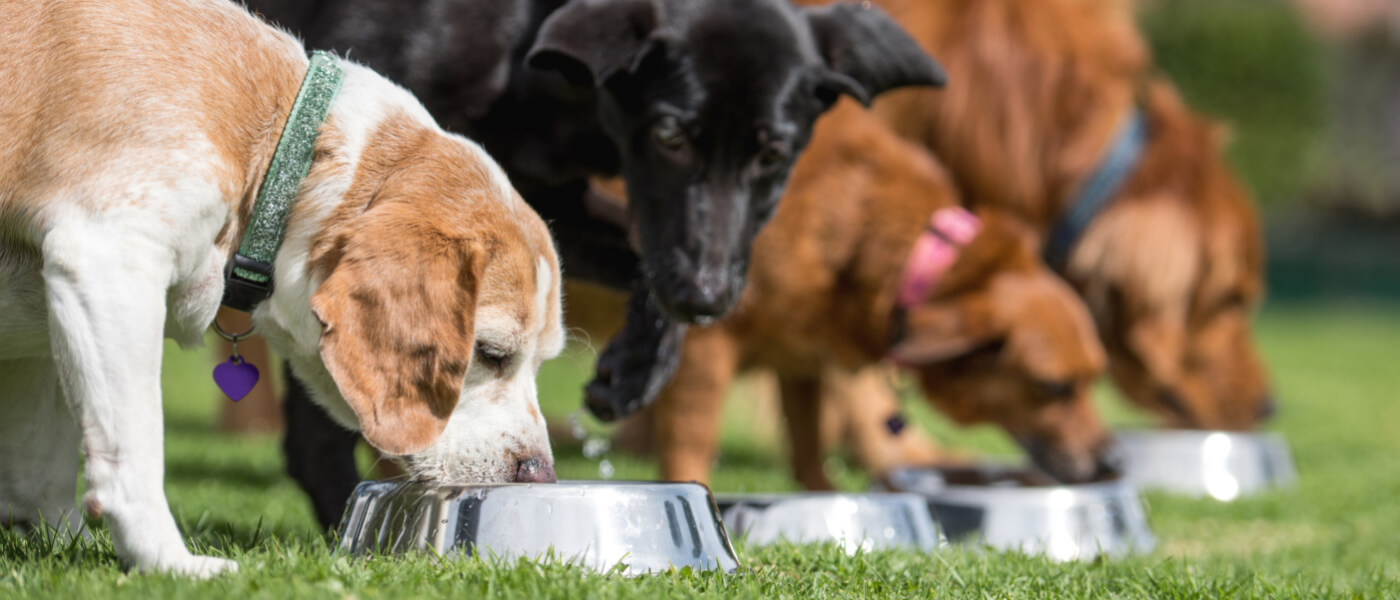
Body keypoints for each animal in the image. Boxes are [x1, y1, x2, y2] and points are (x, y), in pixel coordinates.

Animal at [6, 0, 562, 576]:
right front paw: (168, 562)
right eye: (491, 353)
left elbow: (41, 468)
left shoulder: (44, 330)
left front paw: (65, 544)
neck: (281, 142)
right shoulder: (108, 259)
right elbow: (133, 453)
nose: (540, 474)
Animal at [249, 0, 952, 525]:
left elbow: (641, 262)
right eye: (670, 135)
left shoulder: (550, 200)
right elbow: (327, 410)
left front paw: (636, 368)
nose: (707, 296)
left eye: (774, 154)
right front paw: (340, 509)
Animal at [644, 101, 1114, 486]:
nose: (1112, 462)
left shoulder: (799, 359)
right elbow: (693, 444)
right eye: (1053, 386)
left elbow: (808, 446)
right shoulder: (703, 345)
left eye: (1095, 377)